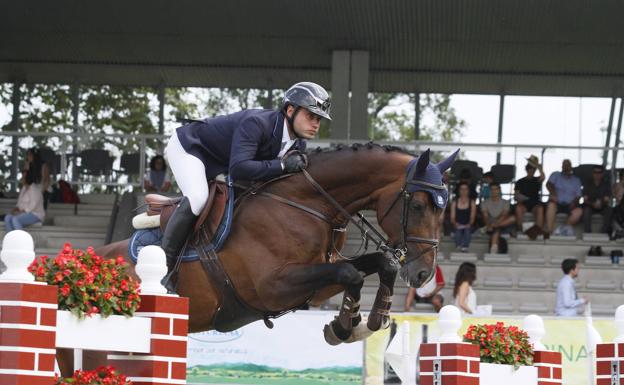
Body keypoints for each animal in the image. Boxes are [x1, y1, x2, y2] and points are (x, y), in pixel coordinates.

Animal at [57, 142, 458, 374]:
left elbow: (372, 267)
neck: (307, 202)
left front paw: (365, 322)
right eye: (419, 205)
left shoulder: (315, 285)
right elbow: (351, 273)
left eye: (445, 208)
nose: (423, 275)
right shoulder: (273, 286)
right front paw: (345, 327)